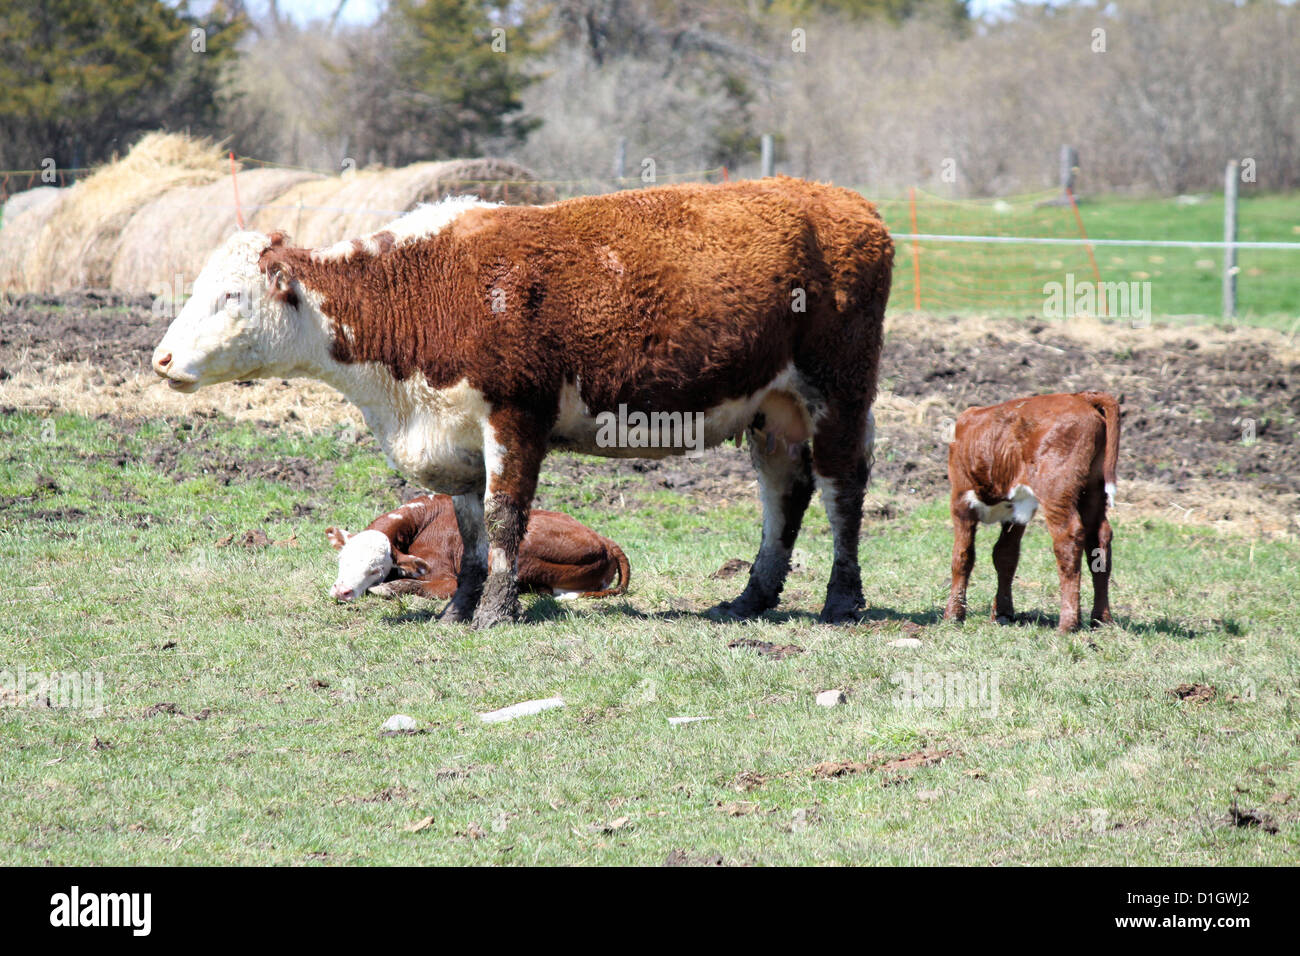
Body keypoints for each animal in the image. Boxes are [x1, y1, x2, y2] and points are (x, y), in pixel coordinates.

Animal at [325, 493, 629, 603]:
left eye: (376, 569)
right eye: (341, 559)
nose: (342, 590)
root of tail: (606, 541)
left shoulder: (446, 577)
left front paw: (386, 588)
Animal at [943, 391, 1120, 632]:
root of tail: (1079, 396)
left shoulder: (961, 501)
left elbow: (963, 557)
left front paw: (954, 615)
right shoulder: (1017, 511)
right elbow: (1005, 556)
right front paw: (1003, 612)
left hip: (1057, 490)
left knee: (1069, 538)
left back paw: (1067, 624)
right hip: (1093, 490)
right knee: (1099, 540)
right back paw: (1101, 619)